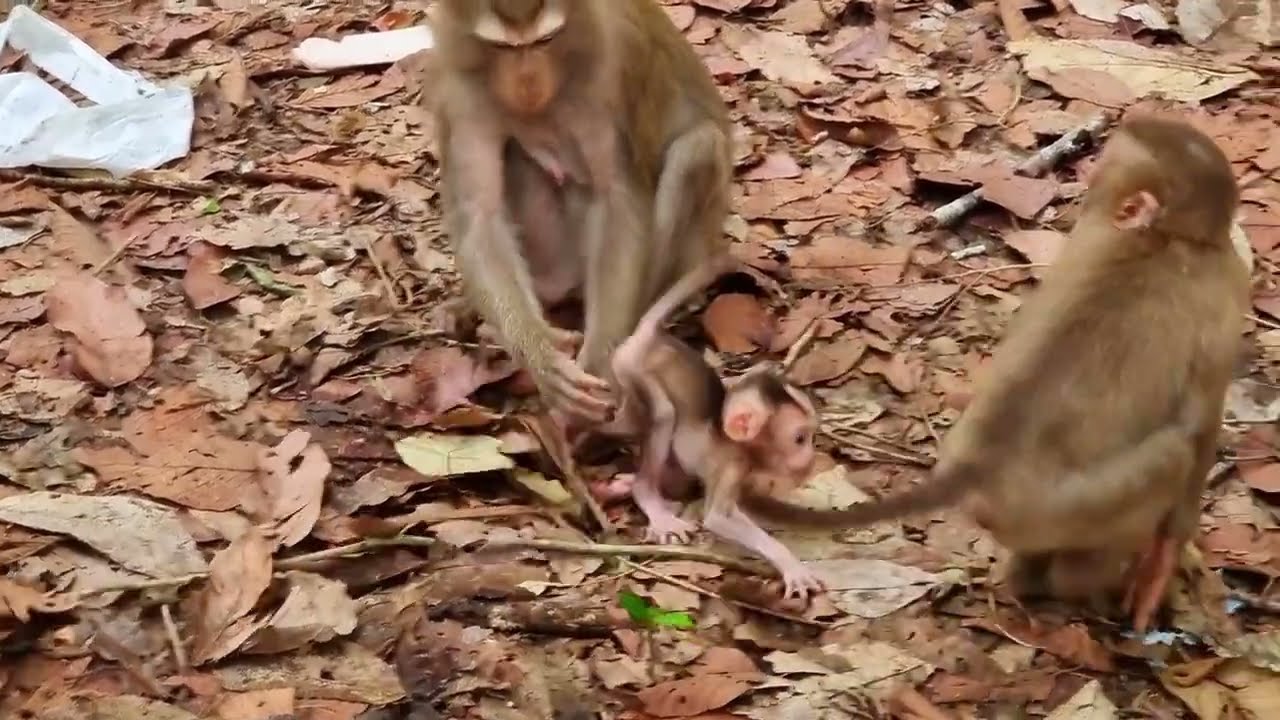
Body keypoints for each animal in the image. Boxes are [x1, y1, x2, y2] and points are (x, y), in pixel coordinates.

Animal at [432, 0, 732, 426]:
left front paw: (601, 356)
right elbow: (480, 218)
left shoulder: (611, 73)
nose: (527, 83)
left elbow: (617, 197)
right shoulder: (458, 91)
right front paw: (541, 358)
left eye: (545, 40)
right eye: (503, 48)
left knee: (695, 150)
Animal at [602, 255, 824, 599]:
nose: (811, 459)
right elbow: (718, 518)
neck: (741, 448)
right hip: (629, 368)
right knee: (664, 415)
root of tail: (650, 337)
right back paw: (648, 496)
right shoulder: (731, 465)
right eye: (800, 439)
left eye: (811, 436)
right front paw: (789, 564)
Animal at [740, 116, 1250, 629]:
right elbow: (1201, 428)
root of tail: (977, 467)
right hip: (1072, 507)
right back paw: (1078, 585)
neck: (1166, 237)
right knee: (1173, 455)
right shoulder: (1226, 297)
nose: (1086, 176)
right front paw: (1163, 563)